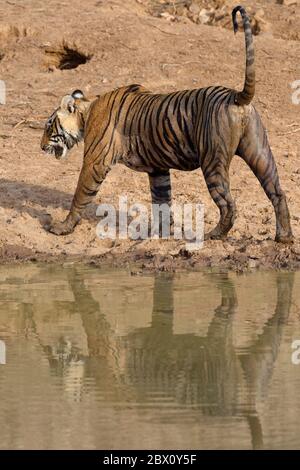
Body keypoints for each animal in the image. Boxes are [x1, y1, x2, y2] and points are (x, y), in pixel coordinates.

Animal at [39, 4, 292, 242]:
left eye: (49, 125)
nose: (40, 147)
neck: (87, 112)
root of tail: (236, 95)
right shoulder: (158, 169)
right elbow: (161, 201)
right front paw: (159, 233)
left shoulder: (95, 162)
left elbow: (80, 194)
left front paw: (62, 228)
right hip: (260, 152)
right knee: (278, 192)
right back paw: (284, 237)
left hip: (213, 161)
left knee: (229, 204)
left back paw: (215, 234)